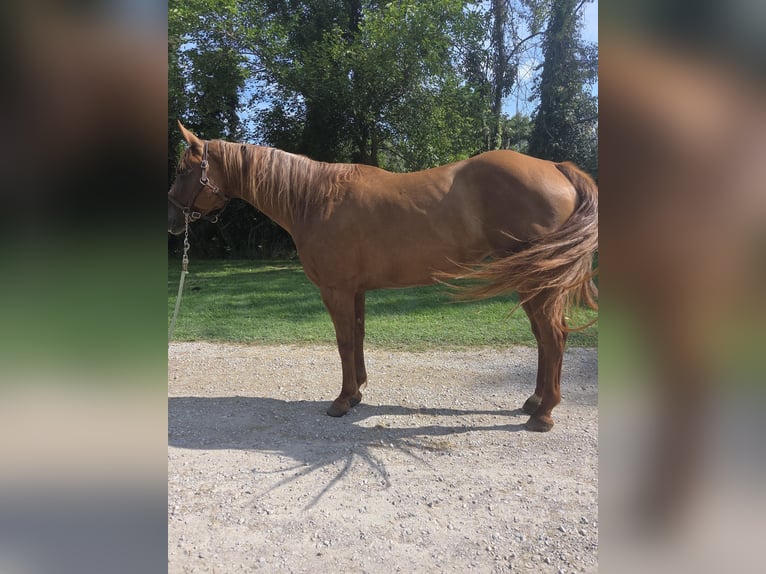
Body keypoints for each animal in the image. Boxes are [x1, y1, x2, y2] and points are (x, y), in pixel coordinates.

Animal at [168, 122, 598, 431]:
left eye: (183, 169)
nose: (172, 220)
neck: (314, 198)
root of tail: (557, 168)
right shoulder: (356, 290)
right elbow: (357, 337)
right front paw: (357, 391)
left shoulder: (336, 290)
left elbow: (343, 342)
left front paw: (342, 401)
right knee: (544, 338)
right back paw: (535, 402)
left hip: (537, 282)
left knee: (553, 337)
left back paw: (543, 414)